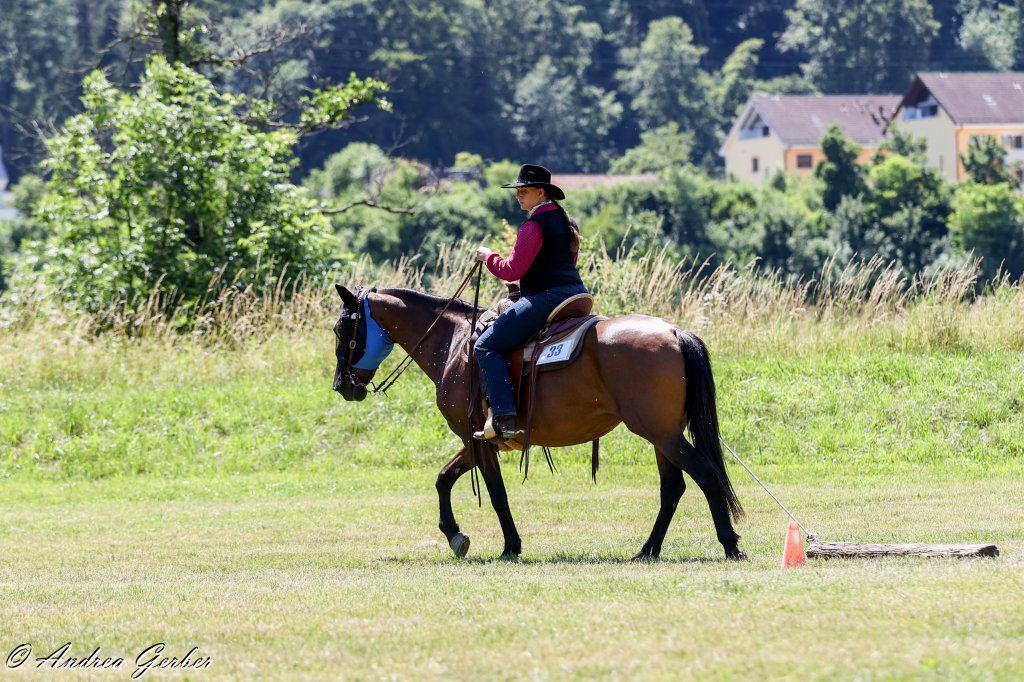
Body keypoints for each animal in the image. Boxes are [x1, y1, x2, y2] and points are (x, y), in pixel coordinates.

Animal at [331, 282, 746, 561]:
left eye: (341, 330)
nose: (341, 386)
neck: (455, 341)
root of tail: (674, 331)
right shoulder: (477, 438)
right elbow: (444, 478)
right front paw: (455, 536)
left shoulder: (474, 438)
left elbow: (496, 494)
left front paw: (509, 546)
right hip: (663, 436)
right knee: (672, 488)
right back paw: (648, 550)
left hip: (662, 434)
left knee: (705, 475)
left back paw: (729, 544)